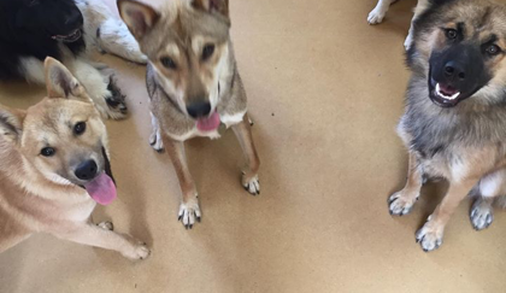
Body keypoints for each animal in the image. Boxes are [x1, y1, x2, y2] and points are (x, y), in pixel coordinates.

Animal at [0, 57, 150, 260]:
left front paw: (101, 225)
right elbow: (111, 239)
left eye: (79, 127)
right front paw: (134, 249)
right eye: (47, 151)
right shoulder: (72, 231)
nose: (86, 170)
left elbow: (96, 227)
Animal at [117, 0, 260, 228]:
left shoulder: (237, 118)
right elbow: (184, 177)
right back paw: (158, 134)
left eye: (208, 49)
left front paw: (250, 177)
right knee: (154, 114)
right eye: (167, 61)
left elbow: (254, 156)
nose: (199, 109)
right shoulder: (174, 139)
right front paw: (190, 205)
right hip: (152, 97)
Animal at [392, 0, 506, 251]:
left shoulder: (465, 179)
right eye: (452, 33)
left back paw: (482, 209)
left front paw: (432, 232)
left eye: (493, 49)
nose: (453, 73)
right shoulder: (414, 140)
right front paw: (407, 197)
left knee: (489, 195)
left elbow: (446, 206)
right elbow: (412, 176)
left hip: (497, 178)